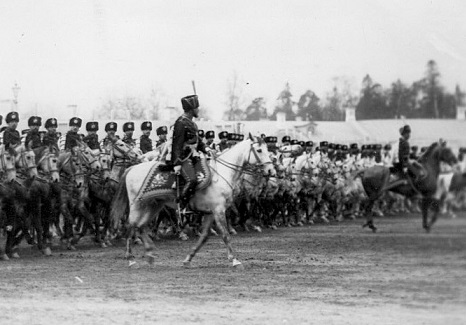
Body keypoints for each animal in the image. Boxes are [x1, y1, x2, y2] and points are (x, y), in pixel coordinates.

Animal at [110, 133, 274, 268]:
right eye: (259, 150)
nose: (271, 171)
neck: (221, 173)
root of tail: (132, 168)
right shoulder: (218, 210)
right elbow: (225, 235)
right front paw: (235, 260)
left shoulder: (210, 212)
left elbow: (204, 237)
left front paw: (188, 259)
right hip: (137, 204)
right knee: (131, 225)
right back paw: (131, 258)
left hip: (153, 205)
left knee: (140, 226)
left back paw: (150, 254)